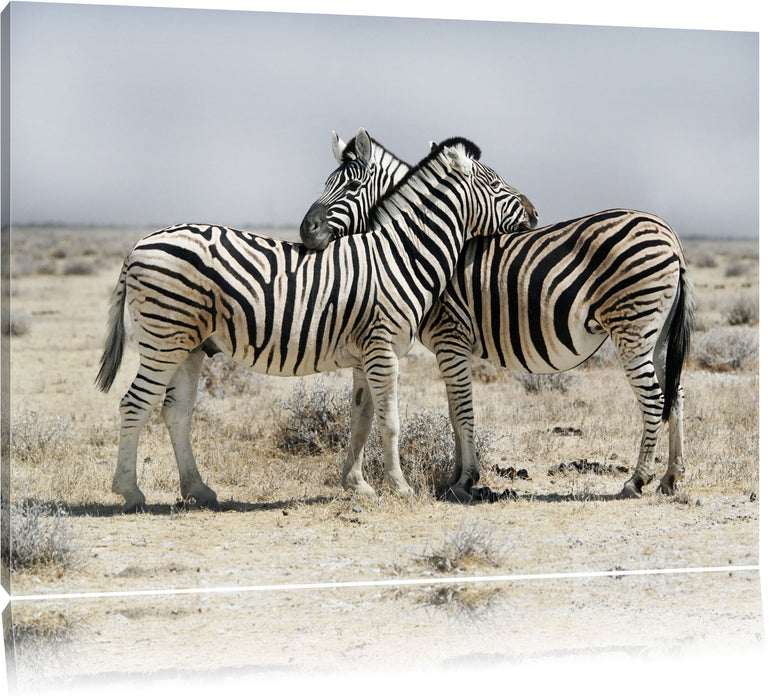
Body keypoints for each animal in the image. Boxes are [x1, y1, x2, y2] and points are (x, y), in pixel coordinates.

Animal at [96, 136, 536, 512]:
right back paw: (130, 492)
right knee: (134, 404)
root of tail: (138, 245)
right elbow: (391, 422)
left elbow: (360, 421)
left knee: (176, 412)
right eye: (495, 183)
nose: (534, 212)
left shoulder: (365, 355)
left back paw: (198, 490)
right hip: (163, 339)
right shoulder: (383, 350)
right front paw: (400, 486)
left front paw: (358, 485)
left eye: (353, 185)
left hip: (187, 345)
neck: (401, 255)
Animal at [300, 133, 694, 503]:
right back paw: (671, 477)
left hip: (632, 328)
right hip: (657, 334)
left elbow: (461, 410)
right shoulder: (450, 347)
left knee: (654, 399)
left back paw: (637, 480)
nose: (306, 231)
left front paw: (465, 480)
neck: (413, 247)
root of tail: (671, 235)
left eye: (351, 187)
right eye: (325, 183)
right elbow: (453, 411)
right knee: (674, 394)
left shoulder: (450, 336)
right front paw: (455, 477)